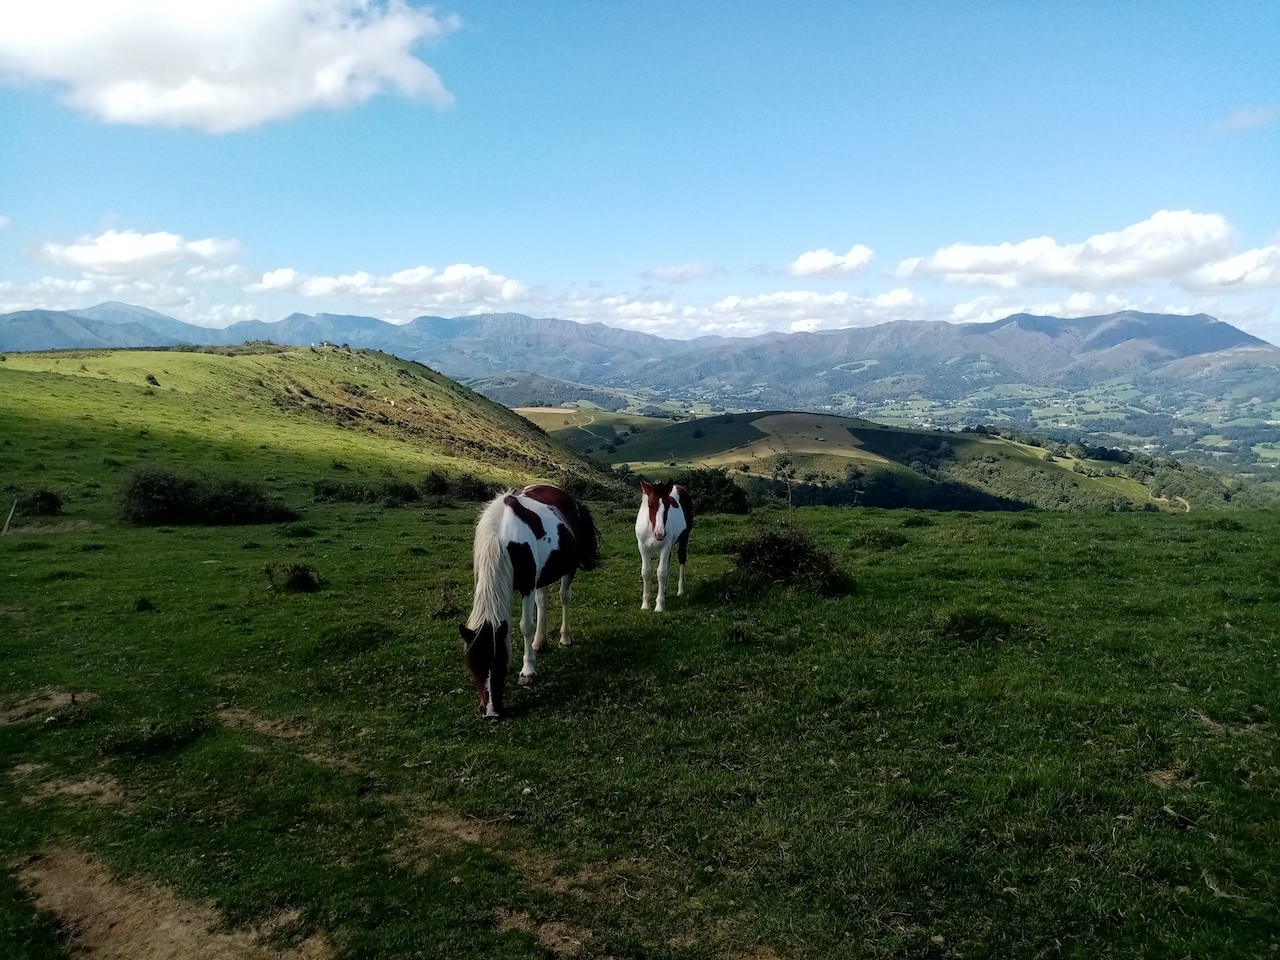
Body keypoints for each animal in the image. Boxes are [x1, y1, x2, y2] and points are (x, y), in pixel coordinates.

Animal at [458, 483, 601, 716]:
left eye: (499, 663)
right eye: (473, 666)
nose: (491, 712)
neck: (501, 536)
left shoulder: (526, 586)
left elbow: (525, 625)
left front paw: (527, 672)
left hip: (568, 568)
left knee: (564, 598)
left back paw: (565, 638)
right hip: (542, 576)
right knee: (542, 601)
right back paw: (539, 642)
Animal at [634, 481, 696, 616]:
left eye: (668, 506)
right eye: (650, 505)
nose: (660, 534)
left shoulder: (665, 546)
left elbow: (661, 572)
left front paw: (659, 606)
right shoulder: (642, 547)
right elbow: (646, 572)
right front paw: (645, 605)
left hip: (684, 537)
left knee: (681, 558)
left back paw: (680, 590)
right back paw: (665, 590)